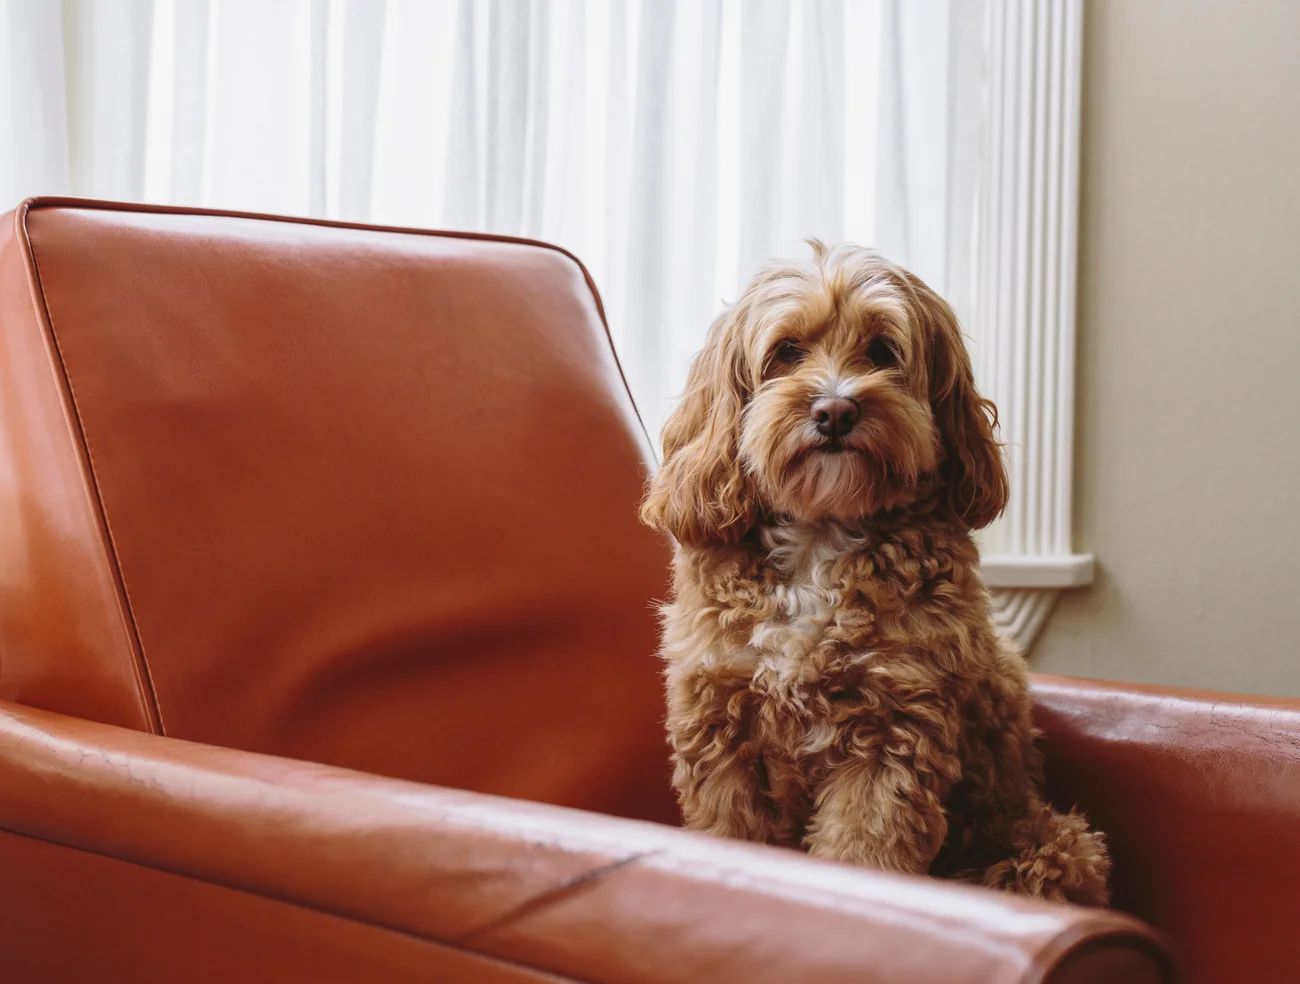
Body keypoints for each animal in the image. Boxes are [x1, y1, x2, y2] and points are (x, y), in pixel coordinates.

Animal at [639, 241, 1107, 899]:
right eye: (787, 350)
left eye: (884, 351)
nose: (834, 410)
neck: (819, 534)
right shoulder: (722, 728)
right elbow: (729, 833)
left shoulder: (893, 731)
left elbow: (864, 853)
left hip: (1051, 847)